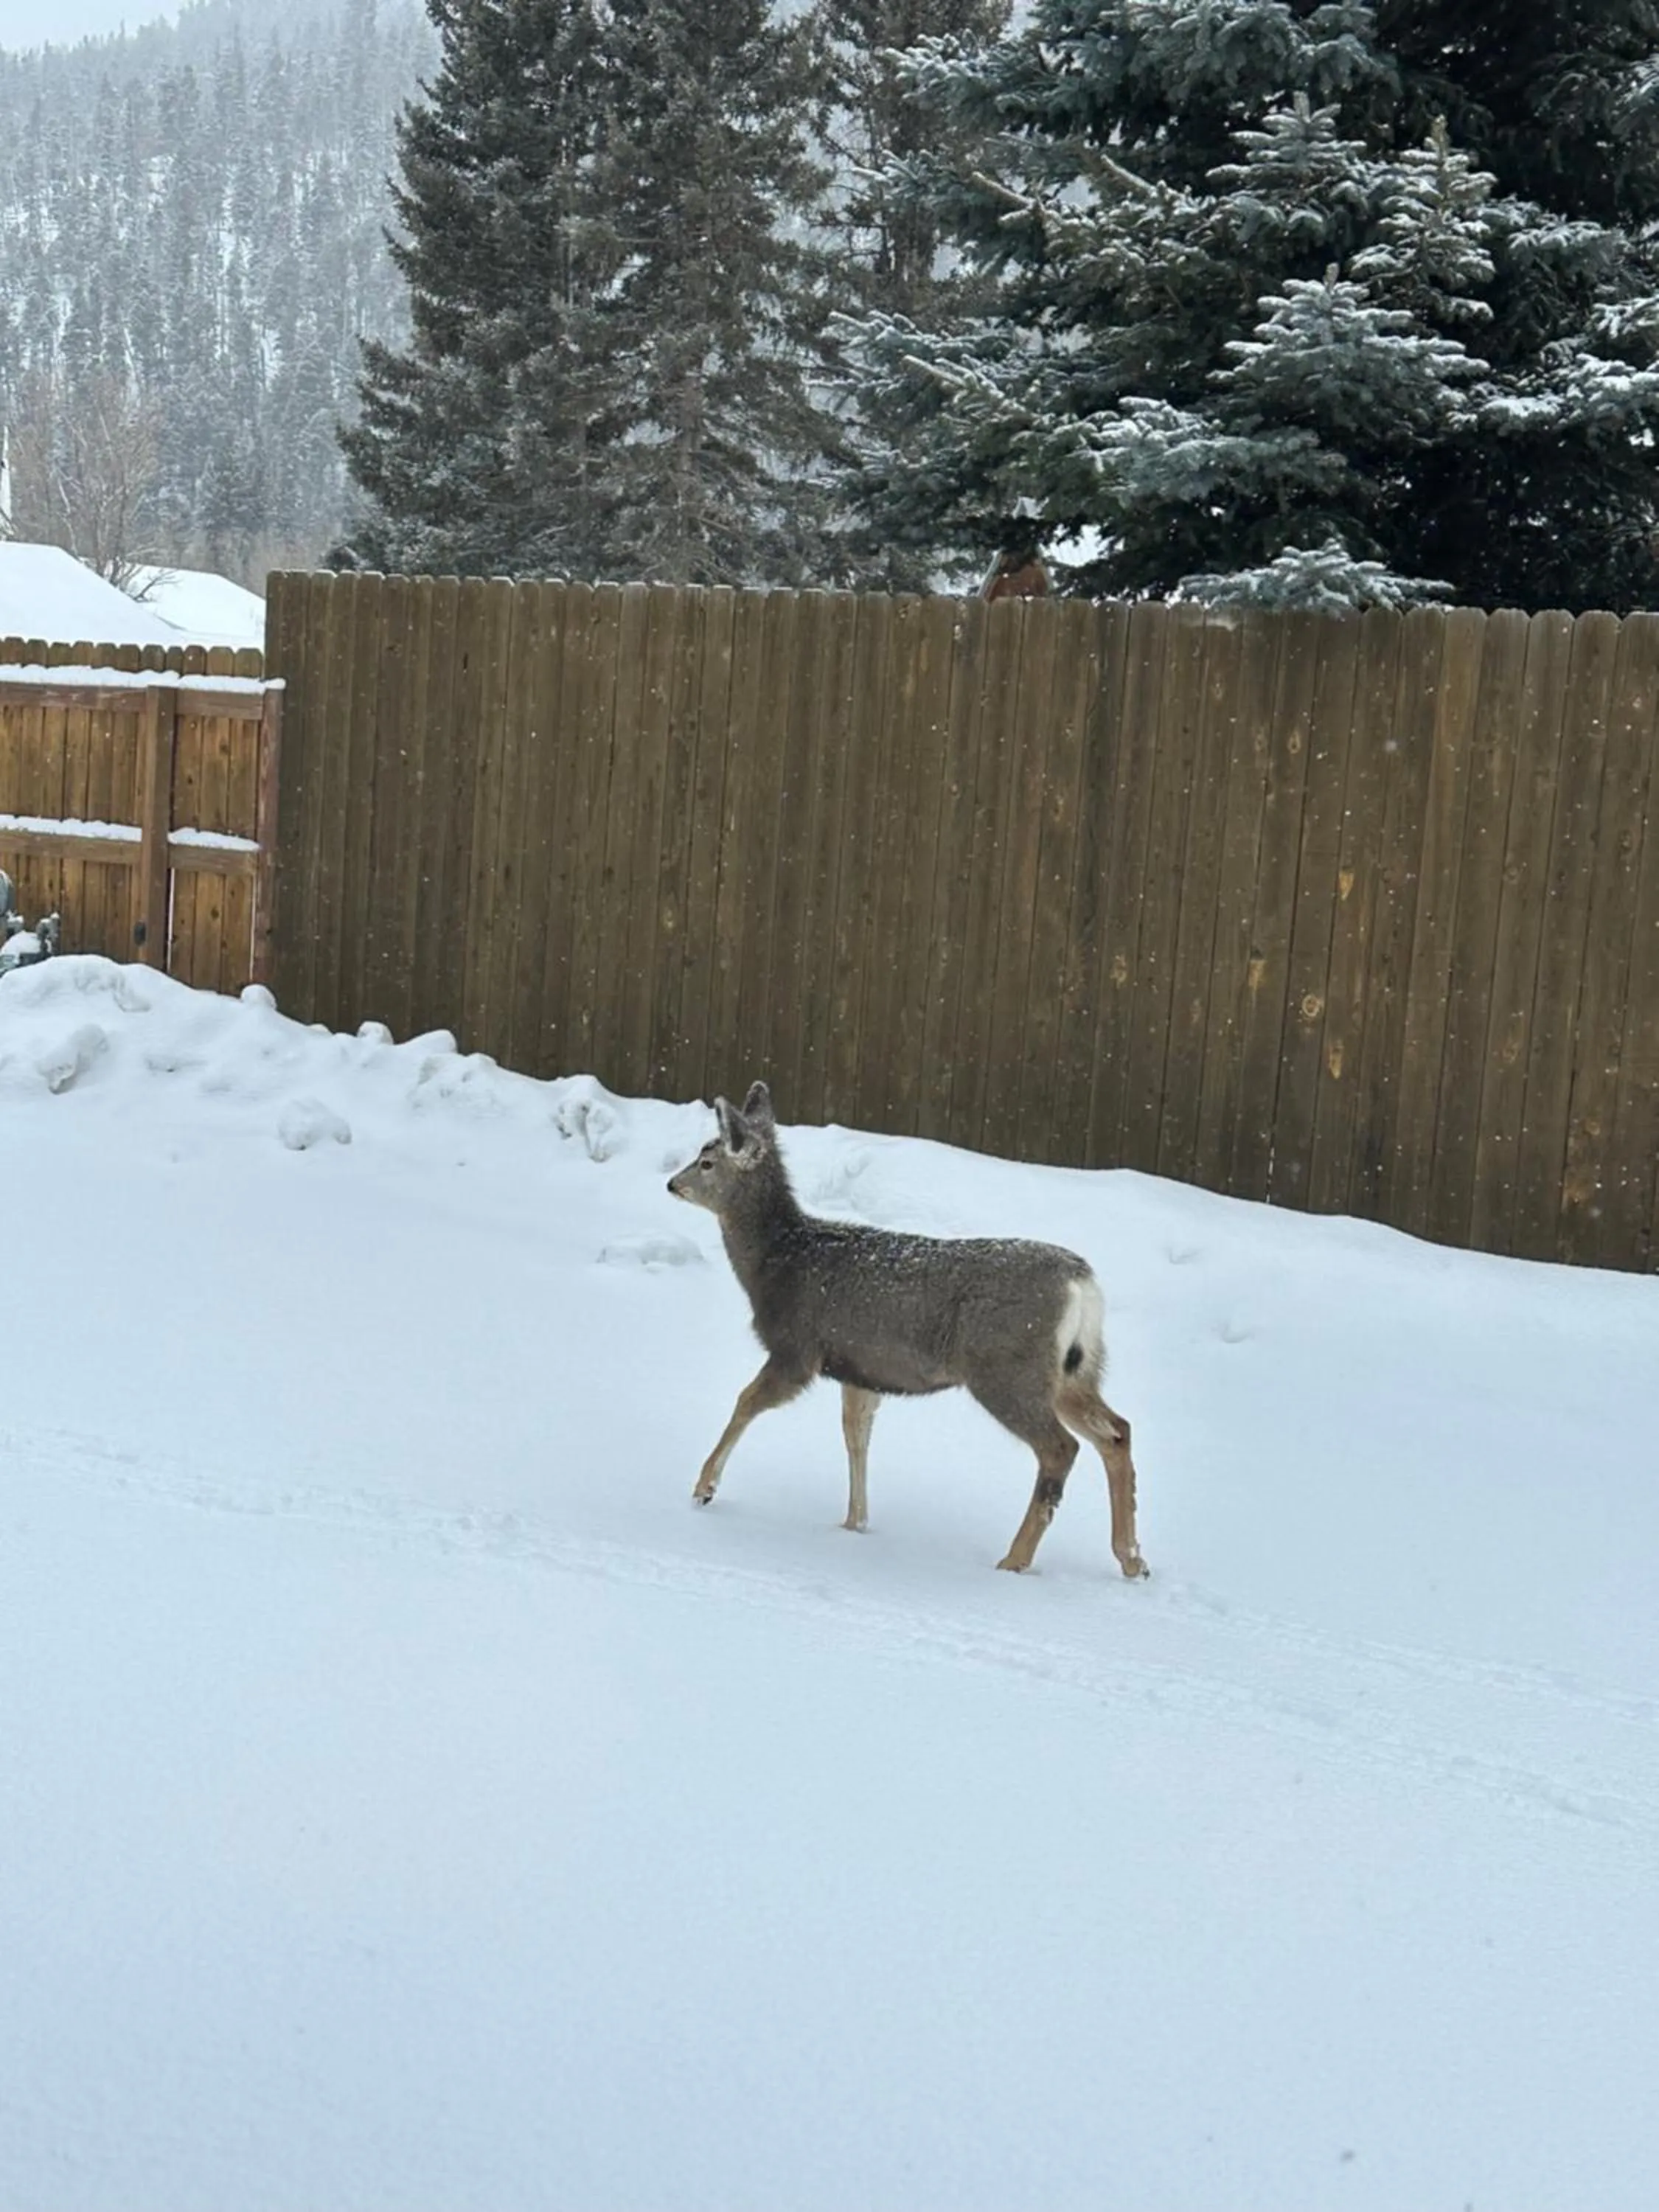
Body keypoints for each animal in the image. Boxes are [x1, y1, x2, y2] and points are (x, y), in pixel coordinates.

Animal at [667, 1082, 1149, 1580]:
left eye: (707, 1160)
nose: (672, 1183)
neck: (778, 1261)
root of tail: (1082, 1283)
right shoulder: (859, 1368)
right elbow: (856, 1437)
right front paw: (855, 1523)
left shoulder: (798, 1348)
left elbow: (746, 1401)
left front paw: (704, 1488)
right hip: (1075, 1369)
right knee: (1117, 1432)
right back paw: (1132, 1559)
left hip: (1007, 1368)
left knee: (1060, 1447)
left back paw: (1015, 1560)